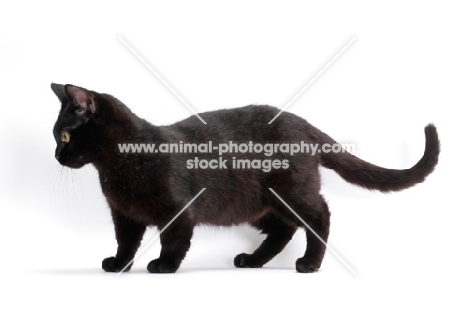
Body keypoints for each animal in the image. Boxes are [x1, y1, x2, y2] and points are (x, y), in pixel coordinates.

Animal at [50, 84, 438, 274]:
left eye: (65, 136)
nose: (56, 156)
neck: (116, 166)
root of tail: (300, 122)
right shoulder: (124, 214)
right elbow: (126, 242)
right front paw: (119, 265)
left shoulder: (180, 210)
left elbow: (173, 240)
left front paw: (164, 266)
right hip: (257, 204)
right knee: (283, 230)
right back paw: (252, 260)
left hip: (289, 191)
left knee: (320, 216)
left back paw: (310, 263)